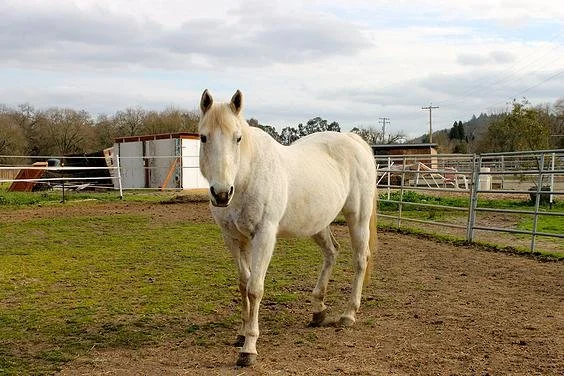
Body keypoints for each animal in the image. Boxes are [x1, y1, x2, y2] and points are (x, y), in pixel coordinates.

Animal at [198, 89, 378, 366]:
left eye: (237, 138)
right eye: (203, 137)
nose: (221, 193)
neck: (246, 177)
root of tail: (353, 139)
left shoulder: (264, 236)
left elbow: (255, 288)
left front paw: (249, 348)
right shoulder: (234, 238)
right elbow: (243, 283)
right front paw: (241, 333)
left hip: (357, 217)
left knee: (360, 260)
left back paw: (348, 315)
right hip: (318, 224)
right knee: (332, 252)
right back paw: (318, 311)